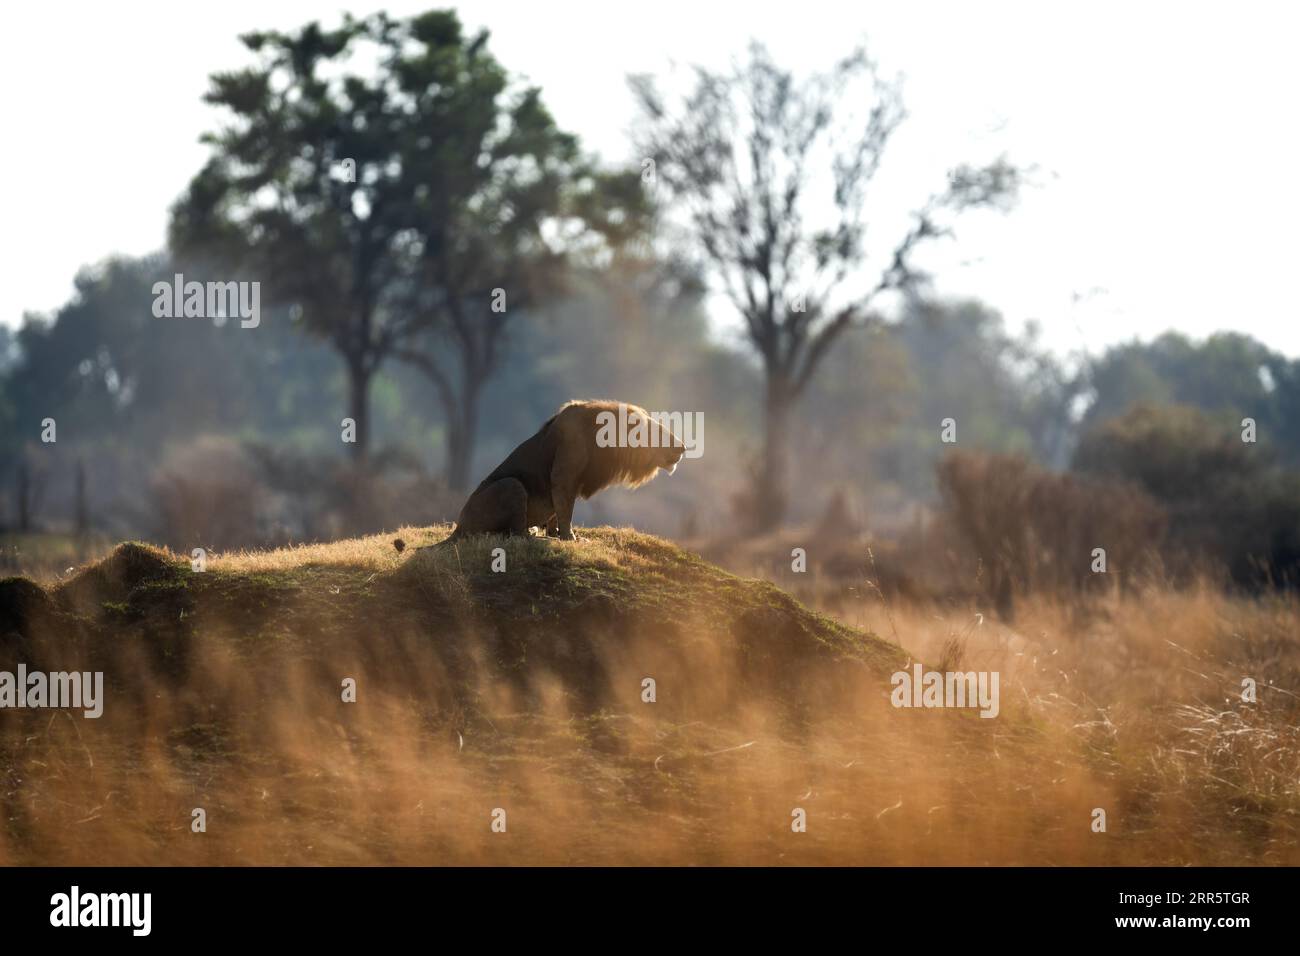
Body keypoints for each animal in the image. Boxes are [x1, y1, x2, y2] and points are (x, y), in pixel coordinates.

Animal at [434, 398, 686, 546]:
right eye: (656, 431)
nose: (683, 447)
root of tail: (458, 527)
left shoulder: (563, 484)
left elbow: (556, 509)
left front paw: (555, 533)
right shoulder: (564, 476)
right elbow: (565, 509)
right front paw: (570, 537)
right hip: (511, 485)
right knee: (512, 533)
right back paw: (529, 533)